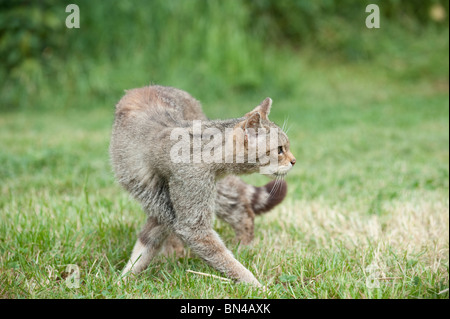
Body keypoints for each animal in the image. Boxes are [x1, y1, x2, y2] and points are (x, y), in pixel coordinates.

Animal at [109, 85, 296, 288]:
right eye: (280, 150)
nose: (294, 161)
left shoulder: (171, 211)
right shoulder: (173, 213)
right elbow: (146, 248)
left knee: (243, 211)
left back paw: (243, 247)